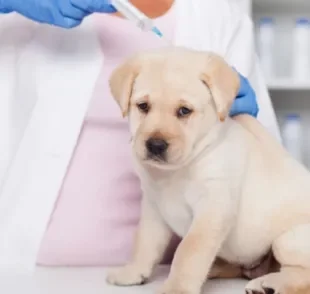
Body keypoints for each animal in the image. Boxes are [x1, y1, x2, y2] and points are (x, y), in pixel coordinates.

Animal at [105, 47, 310, 294]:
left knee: (302, 275)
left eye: (184, 111)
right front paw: (133, 272)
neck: (177, 170)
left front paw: (177, 287)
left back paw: (269, 283)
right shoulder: (153, 208)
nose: (155, 145)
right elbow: (144, 242)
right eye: (143, 106)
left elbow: (189, 250)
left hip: (287, 239)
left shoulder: (212, 209)